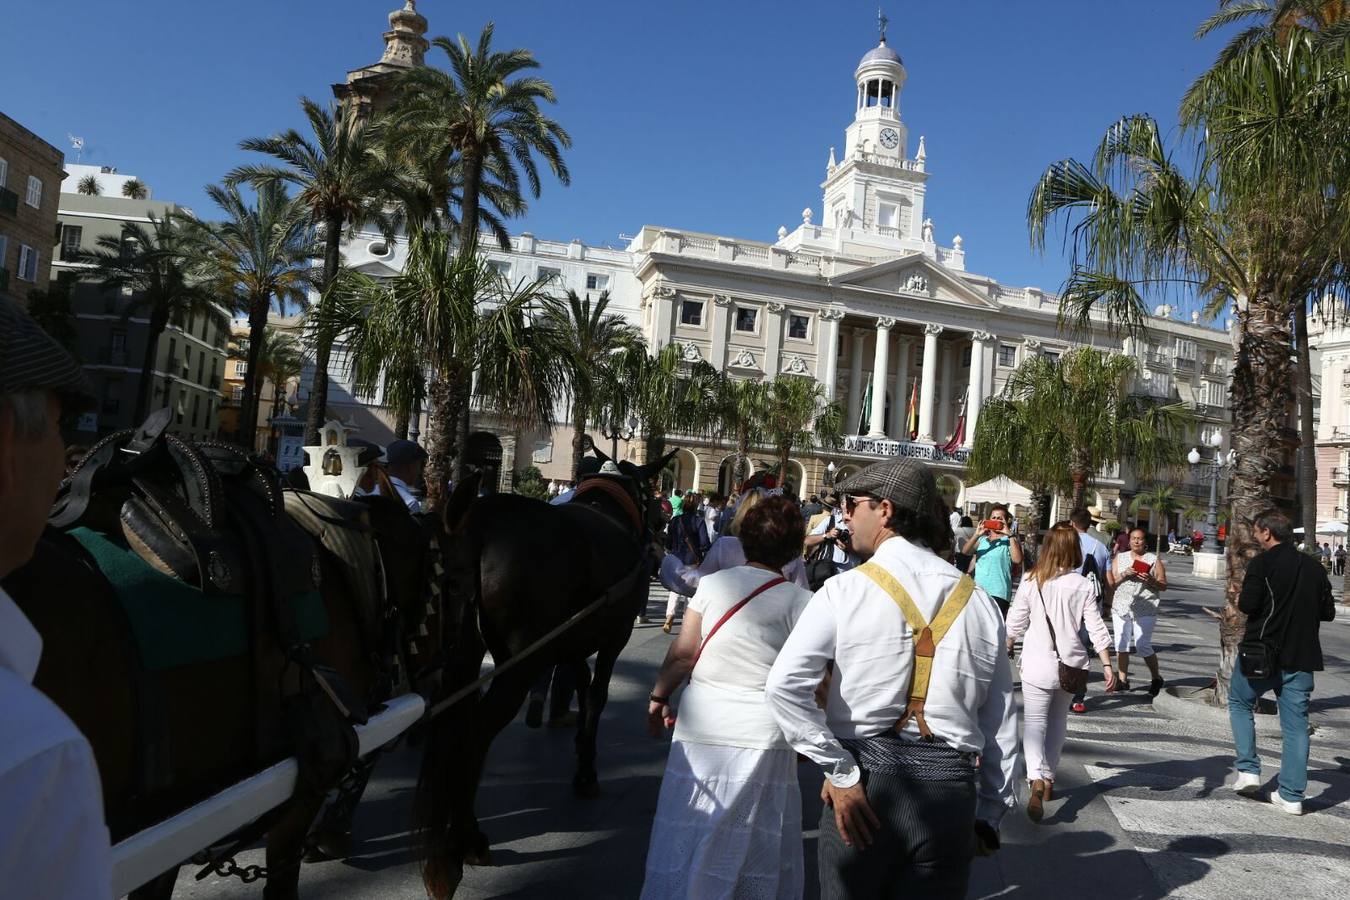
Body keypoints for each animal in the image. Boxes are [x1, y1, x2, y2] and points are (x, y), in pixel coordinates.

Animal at [415, 450, 675, 900]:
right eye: (650, 493)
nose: (663, 524)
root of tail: (480, 521)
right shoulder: (613, 637)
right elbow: (596, 696)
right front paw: (586, 772)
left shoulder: (568, 640)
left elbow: (580, 683)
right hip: (521, 662)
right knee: (475, 733)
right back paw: (463, 844)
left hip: (461, 650)